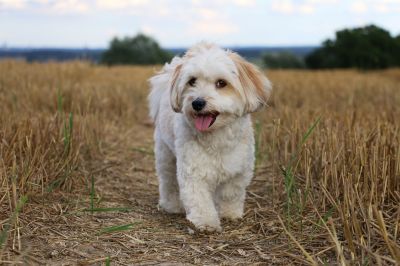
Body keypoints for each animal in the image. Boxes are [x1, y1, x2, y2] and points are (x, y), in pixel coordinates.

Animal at [148, 42, 274, 233]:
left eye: (221, 83)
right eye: (192, 81)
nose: (197, 103)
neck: (217, 137)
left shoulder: (238, 170)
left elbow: (231, 194)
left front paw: (230, 213)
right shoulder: (193, 171)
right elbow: (199, 199)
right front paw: (206, 221)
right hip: (166, 155)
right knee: (168, 182)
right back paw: (172, 205)